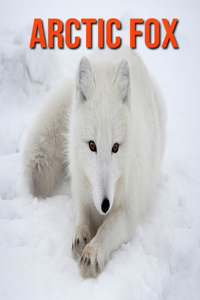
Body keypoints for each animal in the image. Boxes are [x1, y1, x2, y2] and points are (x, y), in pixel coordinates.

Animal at [23, 45, 166, 278]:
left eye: (115, 147)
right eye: (92, 145)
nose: (105, 204)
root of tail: (124, 47)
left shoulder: (130, 210)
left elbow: (108, 229)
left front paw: (93, 253)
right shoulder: (82, 189)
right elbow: (81, 215)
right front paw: (80, 236)